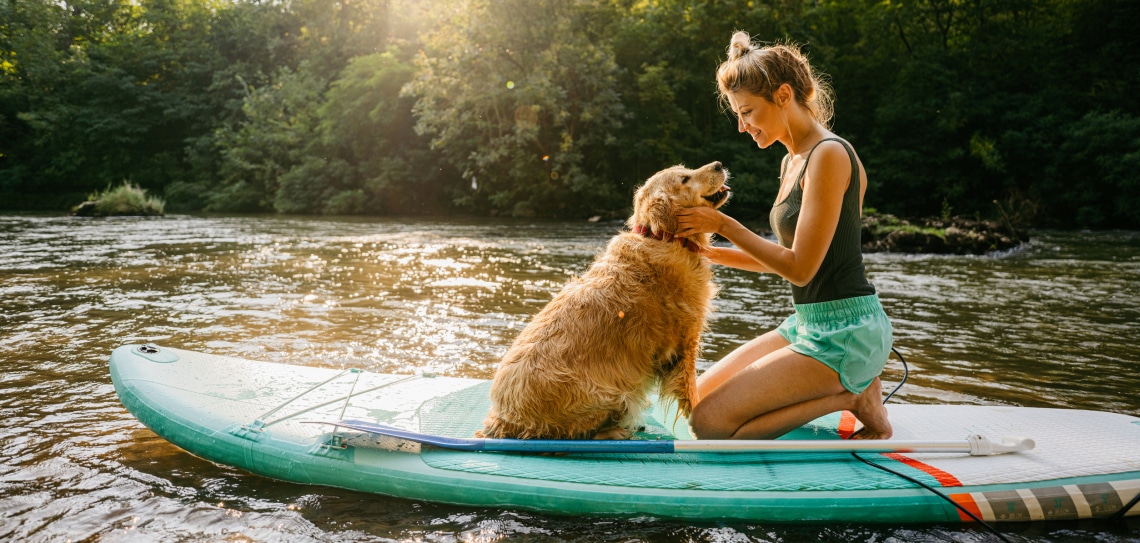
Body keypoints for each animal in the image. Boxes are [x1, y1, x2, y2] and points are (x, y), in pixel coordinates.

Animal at [478, 160, 729, 440]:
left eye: (687, 170)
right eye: (685, 179)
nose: (719, 164)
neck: (663, 237)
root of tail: (503, 419)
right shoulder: (685, 341)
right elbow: (692, 394)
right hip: (610, 393)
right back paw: (619, 431)